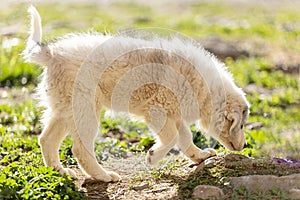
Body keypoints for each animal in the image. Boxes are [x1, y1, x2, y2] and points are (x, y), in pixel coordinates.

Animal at [22, 6, 248, 182]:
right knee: (80, 149)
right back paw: (104, 176)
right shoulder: (157, 111)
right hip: (85, 108)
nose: (244, 145)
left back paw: (59, 172)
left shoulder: (175, 114)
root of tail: (52, 54)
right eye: (241, 125)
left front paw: (200, 156)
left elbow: (185, 138)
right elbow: (173, 138)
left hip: (64, 107)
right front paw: (153, 156)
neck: (206, 89)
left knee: (46, 139)